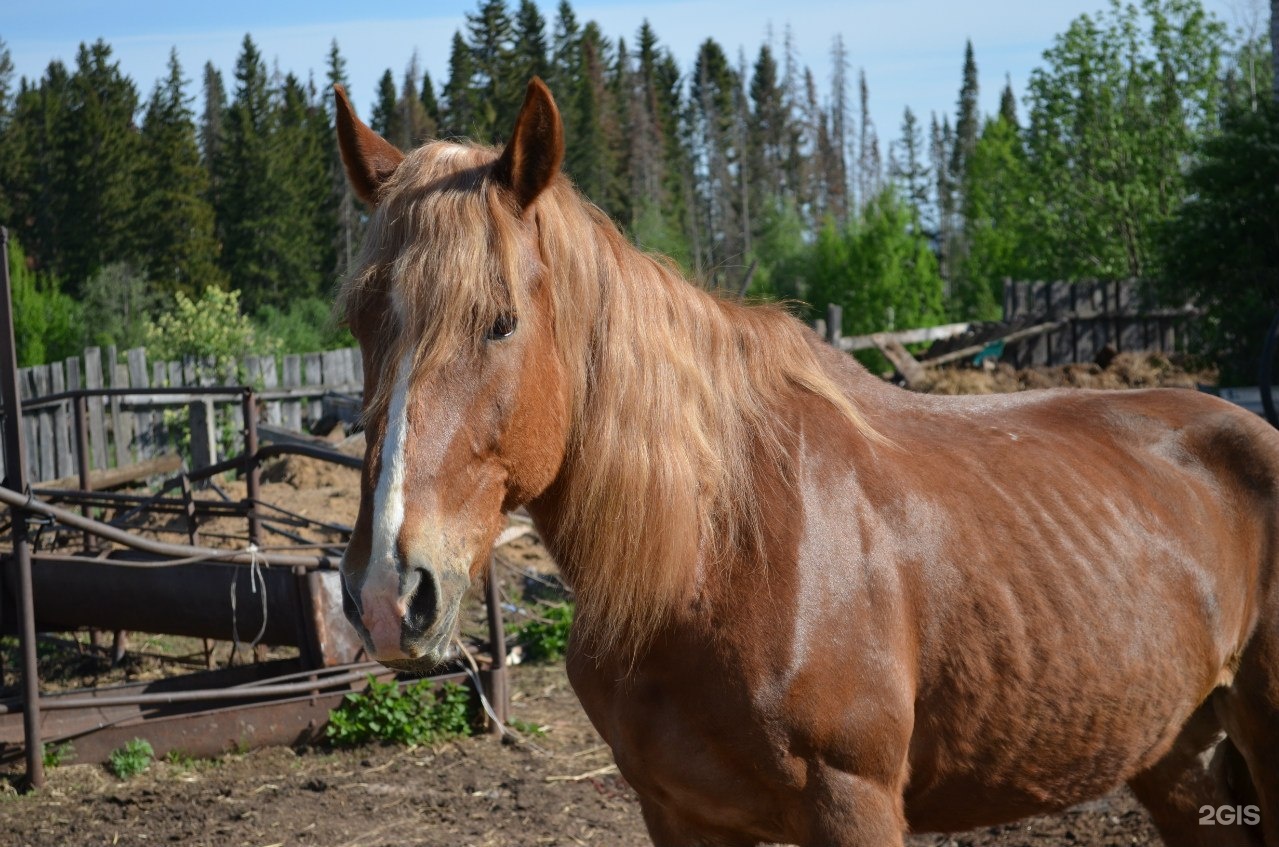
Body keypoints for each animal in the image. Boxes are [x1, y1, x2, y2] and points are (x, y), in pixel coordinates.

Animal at [332, 81, 1279, 847]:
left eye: (499, 322)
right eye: (360, 322)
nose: (387, 593)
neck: (717, 550)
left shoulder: (852, 804)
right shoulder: (678, 815)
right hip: (1178, 759)